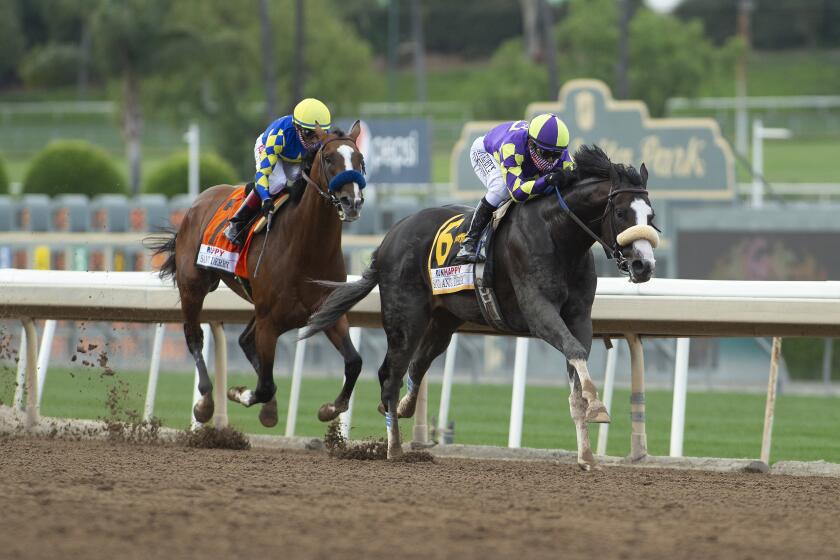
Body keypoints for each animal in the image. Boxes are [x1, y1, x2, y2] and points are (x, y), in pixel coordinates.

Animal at [147, 122, 368, 426]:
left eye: (360, 159)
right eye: (328, 158)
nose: (352, 202)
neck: (306, 248)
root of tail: (197, 202)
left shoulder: (328, 311)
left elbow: (354, 362)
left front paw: (330, 408)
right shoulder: (269, 321)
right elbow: (263, 386)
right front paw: (239, 393)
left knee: (244, 340)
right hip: (193, 286)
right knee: (194, 336)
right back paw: (205, 402)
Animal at [306, 144, 660, 468]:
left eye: (651, 216)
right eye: (621, 214)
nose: (643, 265)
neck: (559, 234)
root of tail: (388, 238)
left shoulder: (579, 317)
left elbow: (577, 370)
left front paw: (586, 454)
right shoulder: (538, 310)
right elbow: (575, 351)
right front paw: (598, 407)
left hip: (443, 322)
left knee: (416, 366)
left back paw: (403, 409)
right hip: (405, 317)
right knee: (389, 374)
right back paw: (393, 448)